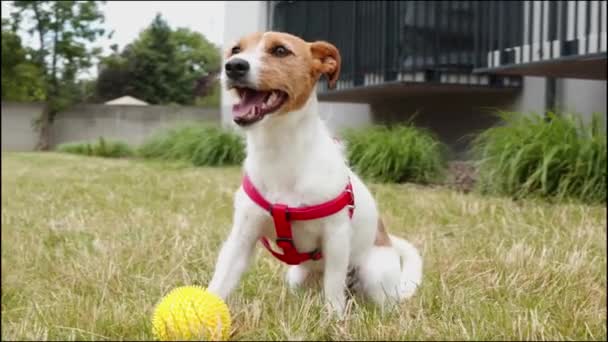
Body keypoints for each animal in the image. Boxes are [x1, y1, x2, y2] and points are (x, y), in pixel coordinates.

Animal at [207, 30, 420, 316]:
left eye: (281, 51)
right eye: (235, 50)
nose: (234, 66)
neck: (279, 152)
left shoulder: (336, 237)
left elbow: (333, 288)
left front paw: (334, 319)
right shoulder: (242, 236)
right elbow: (220, 282)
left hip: (374, 273)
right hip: (296, 278)